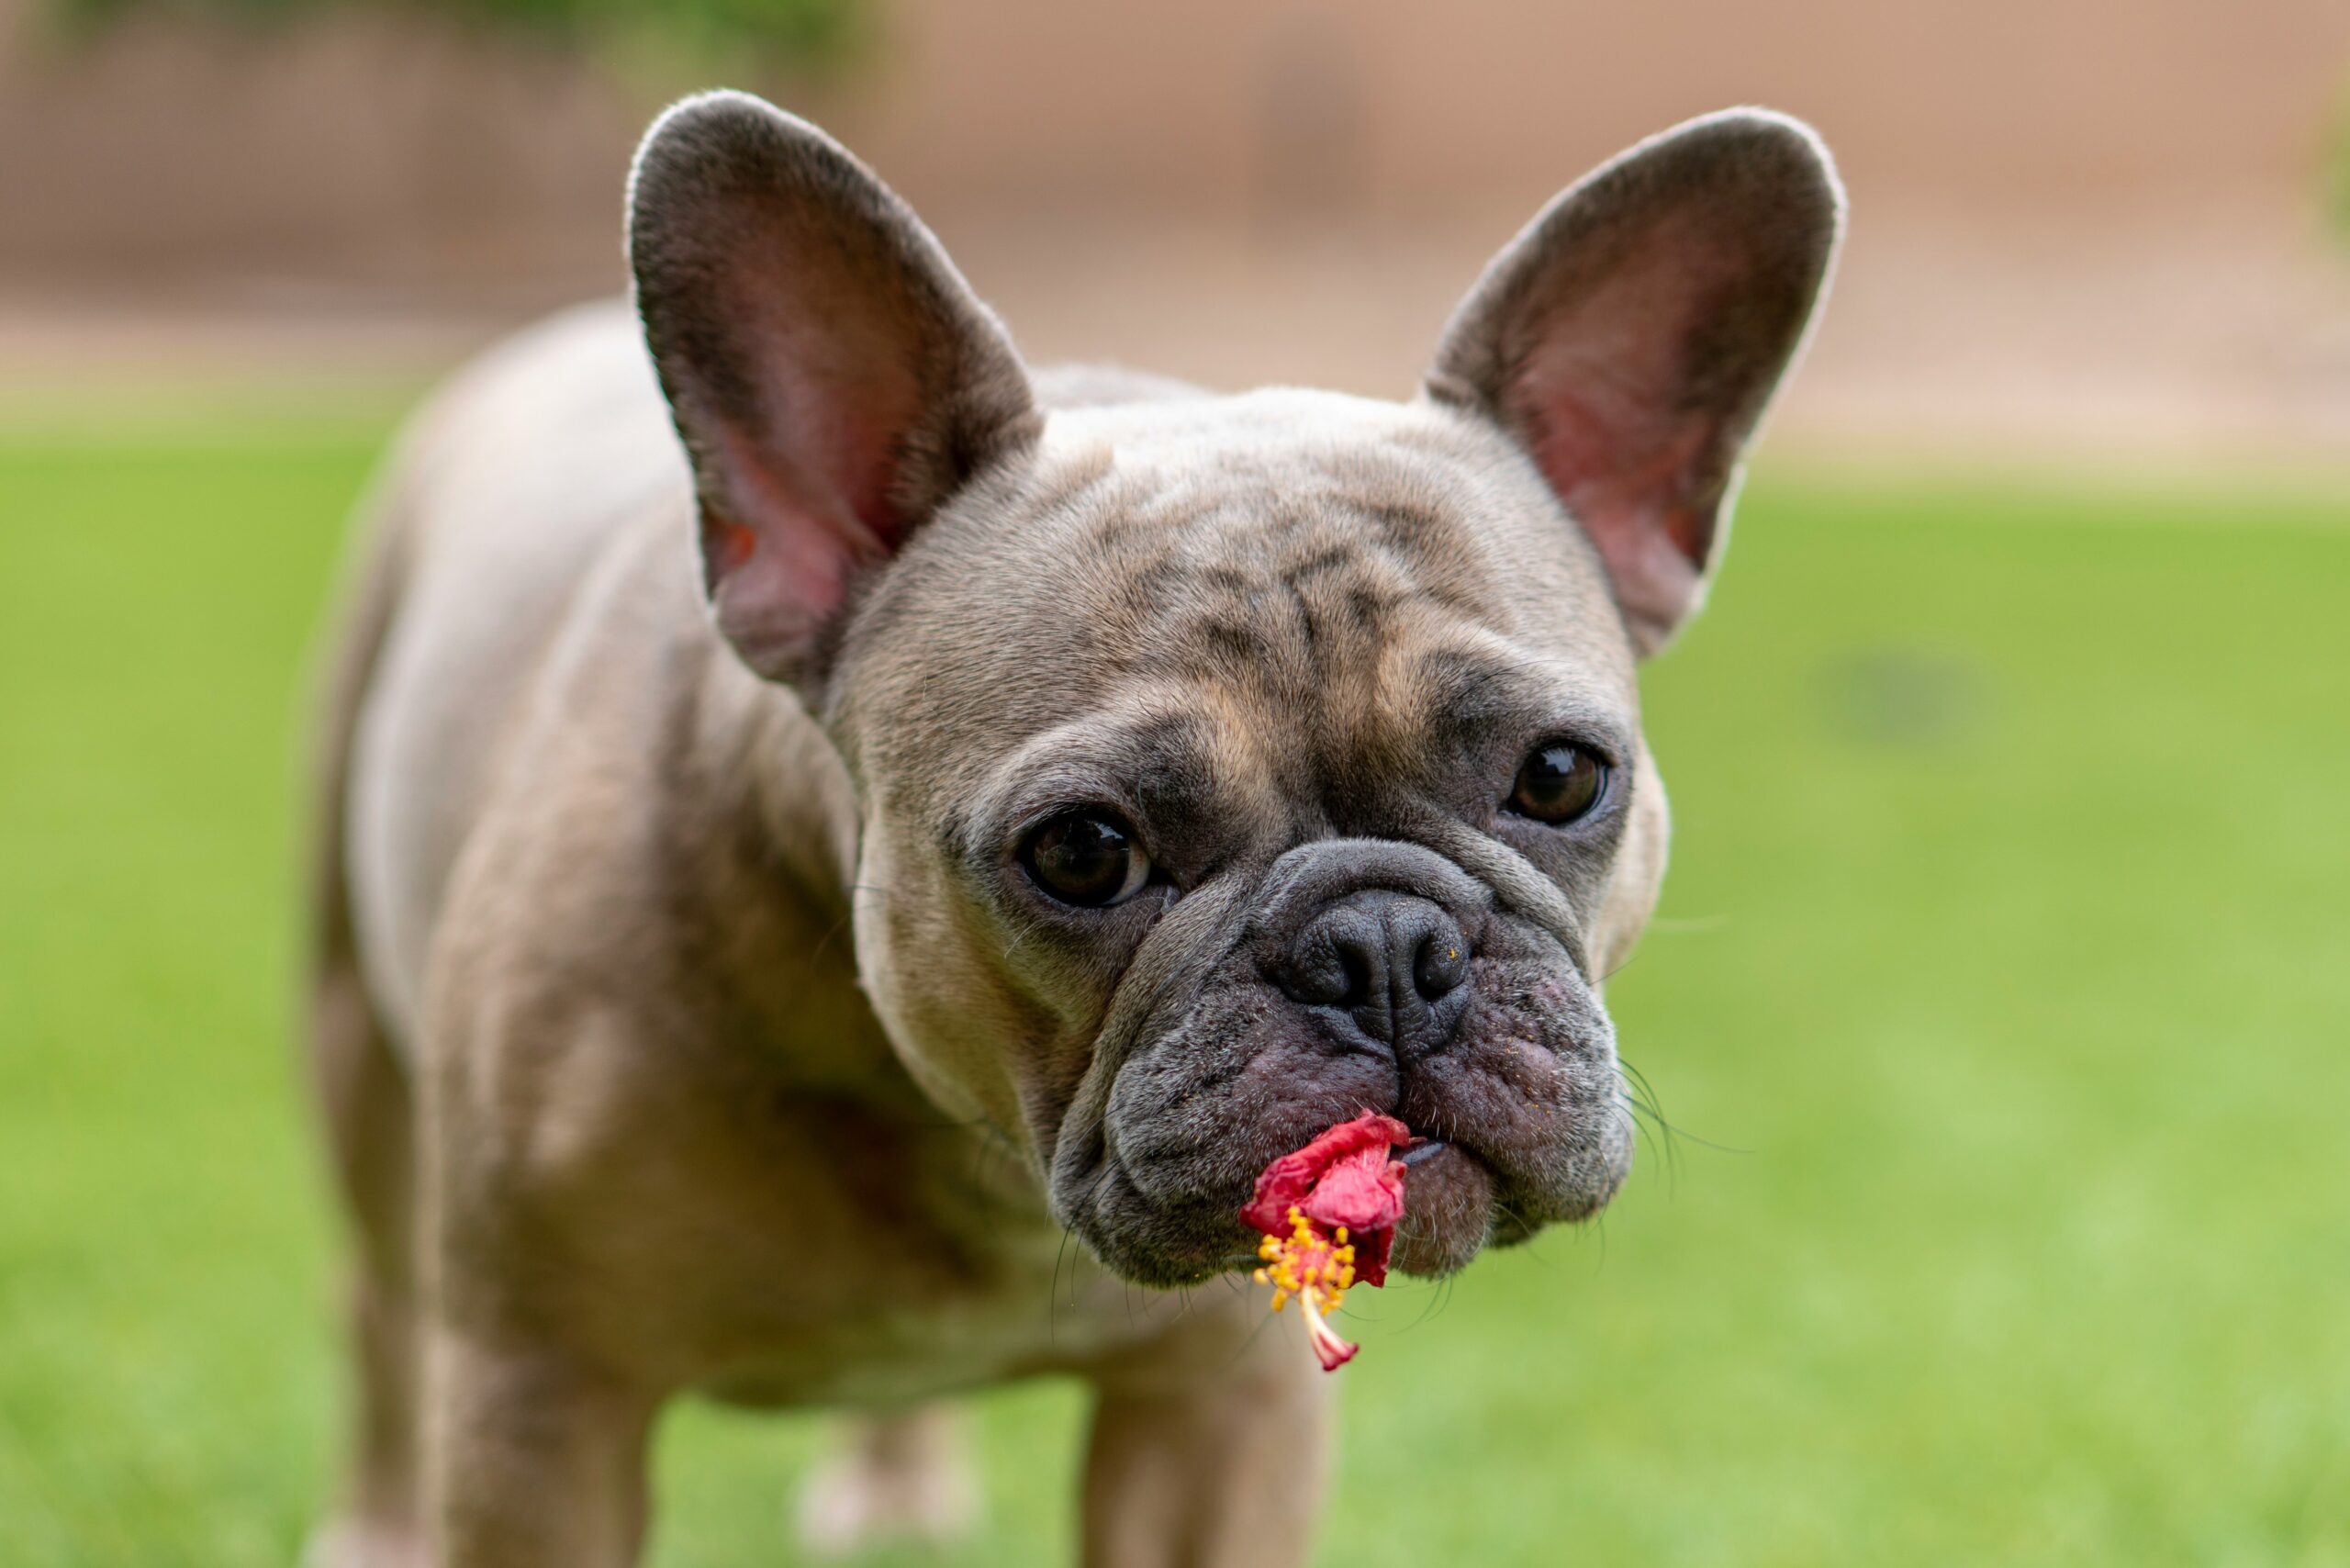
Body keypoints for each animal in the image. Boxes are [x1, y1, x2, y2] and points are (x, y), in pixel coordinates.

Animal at [308, 88, 1832, 1568]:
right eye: (1085, 853)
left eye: (1563, 777)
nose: (1385, 947)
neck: (980, 1150)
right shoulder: (544, 1401)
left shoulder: (1216, 1409)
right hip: (356, 1051)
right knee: (379, 1311)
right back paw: (375, 1528)